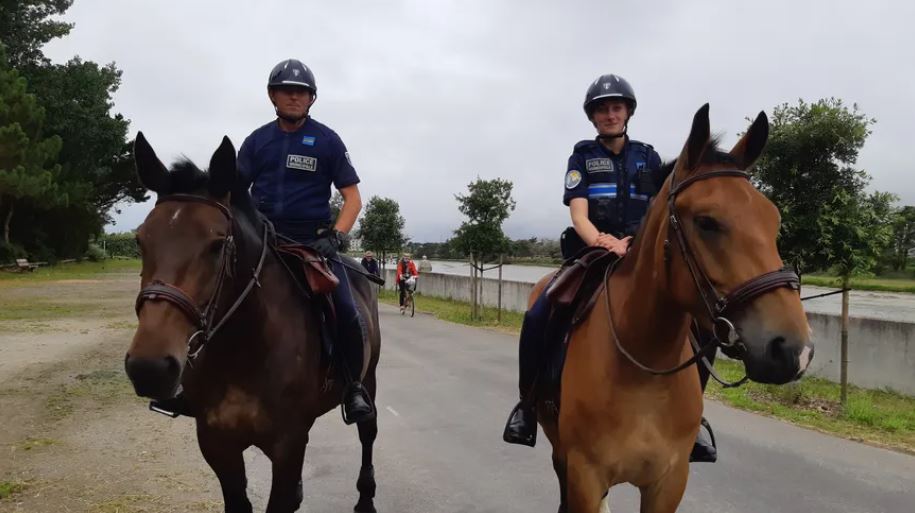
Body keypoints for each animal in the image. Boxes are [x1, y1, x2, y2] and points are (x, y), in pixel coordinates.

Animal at [123, 133, 382, 512]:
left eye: (217, 245)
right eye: (140, 240)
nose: (149, 368)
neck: (244, 350)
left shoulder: (288, 445)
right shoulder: (217, 443)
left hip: (369, 379)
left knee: (368, 433)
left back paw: (365, 498)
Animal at [536, 105, 816, 512]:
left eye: (773, 219)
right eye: (706, 221)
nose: (794, 350)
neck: (643, 368)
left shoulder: (669, 482)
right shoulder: (583, 475)